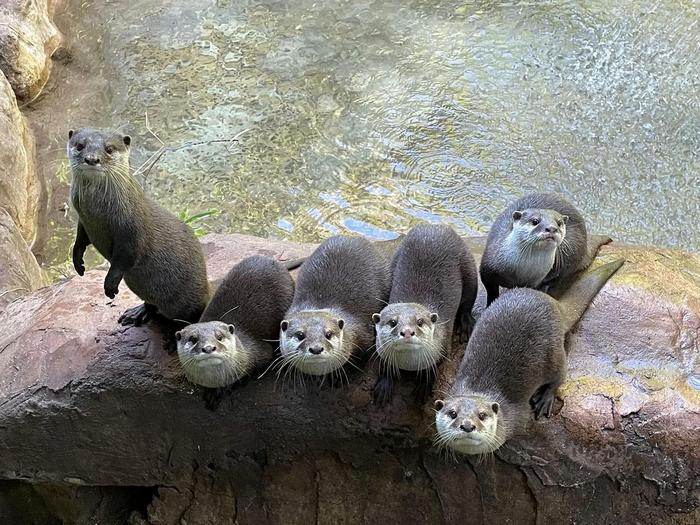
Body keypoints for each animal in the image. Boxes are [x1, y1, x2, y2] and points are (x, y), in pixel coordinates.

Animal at [68, 128, 209, 338]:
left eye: (109, 149)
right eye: (79, 145)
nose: (92, 159)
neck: (97, 214)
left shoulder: (132, 230)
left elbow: (126, 256)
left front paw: (110, 285)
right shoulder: (84, 220)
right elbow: (80, 239)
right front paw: (78, 261)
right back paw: (138, 313)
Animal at [278, 235, 390, 382]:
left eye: (328, 334)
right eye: (300, 335)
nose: (316, 349)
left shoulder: (363, 335)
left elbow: (362, 358)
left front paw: (342, 375)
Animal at [372, 224, 478, 405]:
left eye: (420, 322)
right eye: (393, 322)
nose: (407, 331)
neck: (409, 363)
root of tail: (434, 226)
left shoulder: (443, 346)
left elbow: (434, 368)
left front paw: (425, 387)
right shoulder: (380, 349)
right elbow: (385, 364)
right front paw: (384, 384)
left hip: (468, 266)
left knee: (469, 299)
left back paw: (465, 325)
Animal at [434, 259, 624, 457]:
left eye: (482, 415)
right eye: (453, 413)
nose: (467, 425)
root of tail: (555, 304)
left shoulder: (518, 418)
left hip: (553, 352)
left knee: (560, 374)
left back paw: (545, 398)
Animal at [480, 193, 611, 306]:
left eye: (559, 223)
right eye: (535, 221)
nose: (552, 228)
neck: (521, 270)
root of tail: (585, 245)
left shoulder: (533, 281)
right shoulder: (487, 269)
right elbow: (490, 290)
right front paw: (490, 304)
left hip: (570, 253)